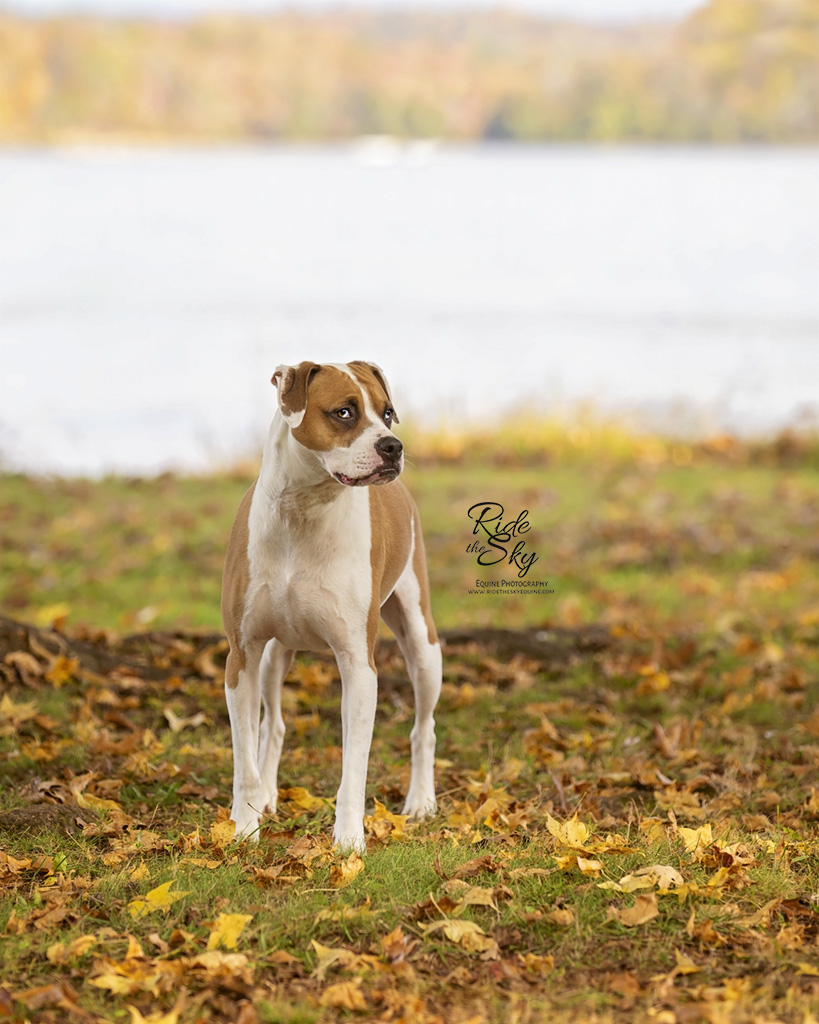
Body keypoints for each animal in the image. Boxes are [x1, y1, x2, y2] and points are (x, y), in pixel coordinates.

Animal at [221, 364, 442, 851]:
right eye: (344, 412)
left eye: (388, 412)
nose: (393, 446)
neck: (304, 509)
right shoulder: (241, 657)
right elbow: (244, 760)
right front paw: (244, 827)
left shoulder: (358, 665)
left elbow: (353, 768)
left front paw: (349, 841)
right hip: (274, 655)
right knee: (273, 725)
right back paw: (268, 797)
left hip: (423, 644)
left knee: (424, 728)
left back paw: (420, 801)